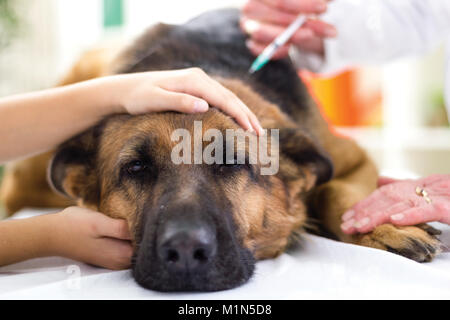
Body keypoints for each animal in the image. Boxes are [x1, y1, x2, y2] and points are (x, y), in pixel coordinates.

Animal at [0, 10, 442, 292]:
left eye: (231, 162)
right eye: (137, 168)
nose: (184, 250)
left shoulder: (352, 160)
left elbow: (336, 190)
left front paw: (380, 227)